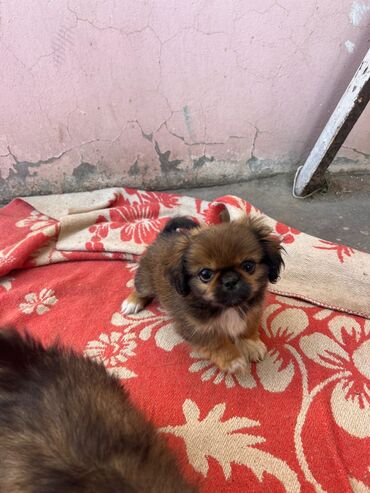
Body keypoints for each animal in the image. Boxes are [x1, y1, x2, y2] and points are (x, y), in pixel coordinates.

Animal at [122, 215, 284, 372]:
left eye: (248, 266)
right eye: (205, 274)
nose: (230, 280)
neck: (228, 307)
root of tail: (164, 234)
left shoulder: (252, 312)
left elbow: (248, 327)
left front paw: (251, 344)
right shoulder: (195, 328)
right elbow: (216, 342)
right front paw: (233, 360)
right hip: (146, 282)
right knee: (140, 289)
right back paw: (132, 303)